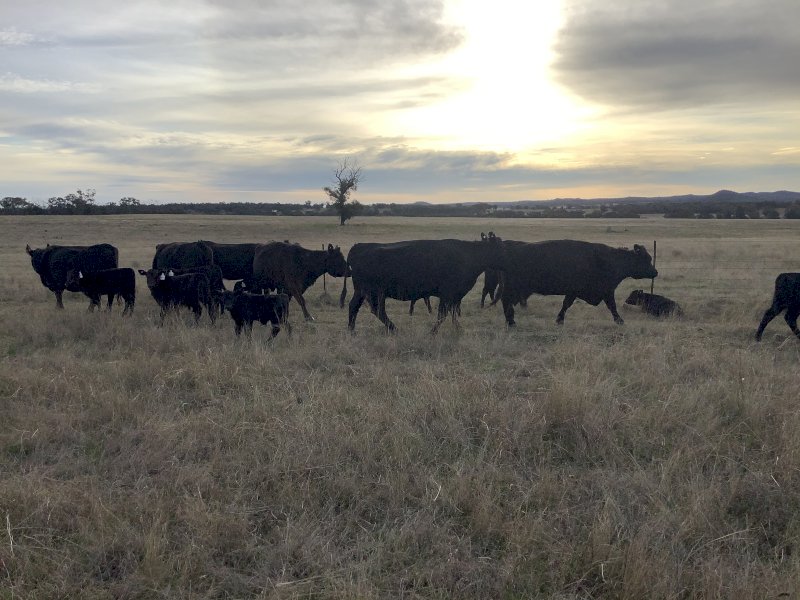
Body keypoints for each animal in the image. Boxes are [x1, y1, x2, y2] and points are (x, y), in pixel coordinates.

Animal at [341, 232, 505, 333]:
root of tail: (359, 246)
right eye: (501, 247)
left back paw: (352, 331)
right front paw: (433, 332)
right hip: (374, 292)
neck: (469, 255)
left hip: (364, 291)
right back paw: (394, 329)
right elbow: (443, 314)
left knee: (356, 307)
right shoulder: (448, 293)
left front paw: (458, 329)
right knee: (376, 310)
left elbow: (451, 313)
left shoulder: (454, 296)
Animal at [499, 240, 658, 327]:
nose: (655, 272)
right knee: (506, 301)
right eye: (646, 259)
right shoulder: (602, 291)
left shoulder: (595, 291)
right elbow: (612, 306)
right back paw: (511, 322)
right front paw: (620, 321)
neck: (610, 260)